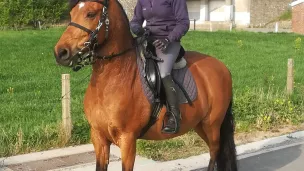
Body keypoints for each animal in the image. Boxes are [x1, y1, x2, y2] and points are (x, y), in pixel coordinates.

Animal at [54, 0, 238, 170]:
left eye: (90, 14)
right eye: (71, 14)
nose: (60, 52)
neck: (113, 79)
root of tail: (222, 67)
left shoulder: (127, 140)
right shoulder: (98, 138)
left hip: (212, 123)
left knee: (215, 151)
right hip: (200, 124)